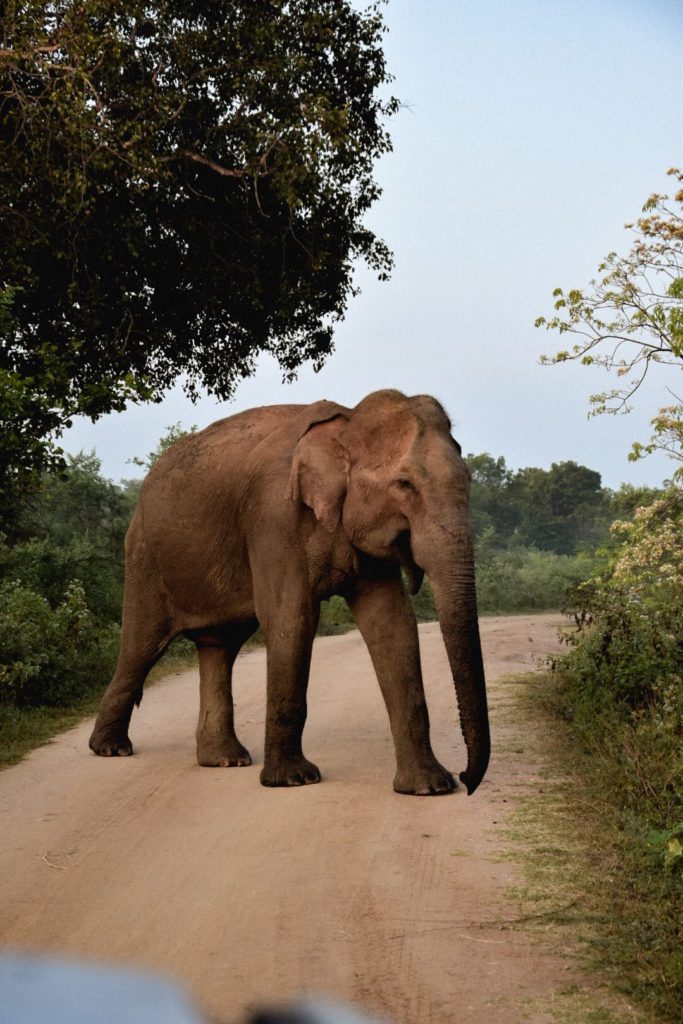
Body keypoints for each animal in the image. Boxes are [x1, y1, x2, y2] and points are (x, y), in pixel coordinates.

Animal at [88, 387, 489, 794]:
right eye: (405, 484)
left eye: (469, 479)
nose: (467, 780)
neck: (348, 422)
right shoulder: (274, 516)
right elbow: (291, 619)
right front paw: (294, 780)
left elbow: (393, 625)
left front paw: (430, 787)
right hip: (144, 557)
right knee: (141, 646)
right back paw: (111, 749)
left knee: (218, 646)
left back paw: (225, 760)